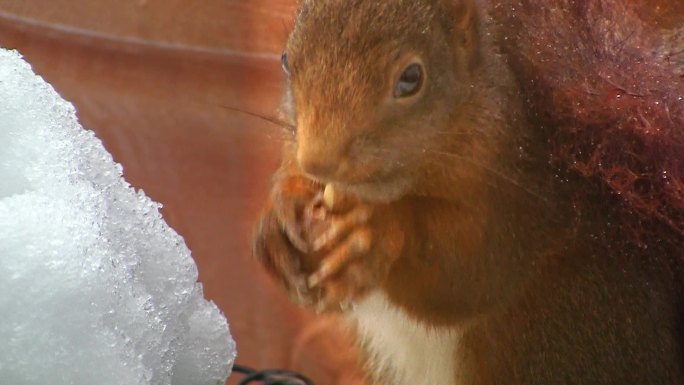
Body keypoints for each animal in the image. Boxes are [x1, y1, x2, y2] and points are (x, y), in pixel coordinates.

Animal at [252, 1, 684, 382]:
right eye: (286, 59)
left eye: (411, 78)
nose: (318, 162)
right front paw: (280, 217)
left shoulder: (521, 198)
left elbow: (470, 273)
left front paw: (378, 231)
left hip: (556, 328)